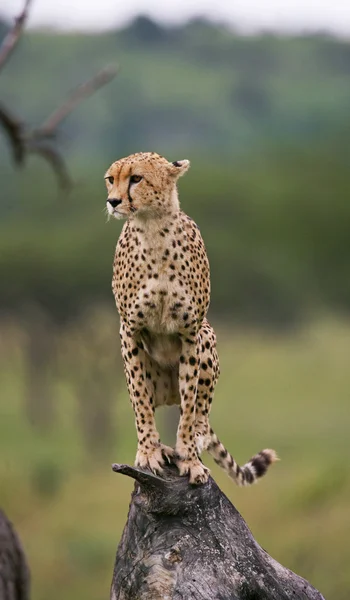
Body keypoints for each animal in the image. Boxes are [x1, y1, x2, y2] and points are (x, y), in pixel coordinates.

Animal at [104, 152, 276, 486]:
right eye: (110, 179)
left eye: (136, 178)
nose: (113, 201)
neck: (152, 226)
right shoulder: (129, 330)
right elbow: (140, 401)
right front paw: (148, 451)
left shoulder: (190, 332)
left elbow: (188, 406)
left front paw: (190, 459)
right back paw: (161, 446)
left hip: (207, 336)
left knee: (200, 415)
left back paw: (189, 442)